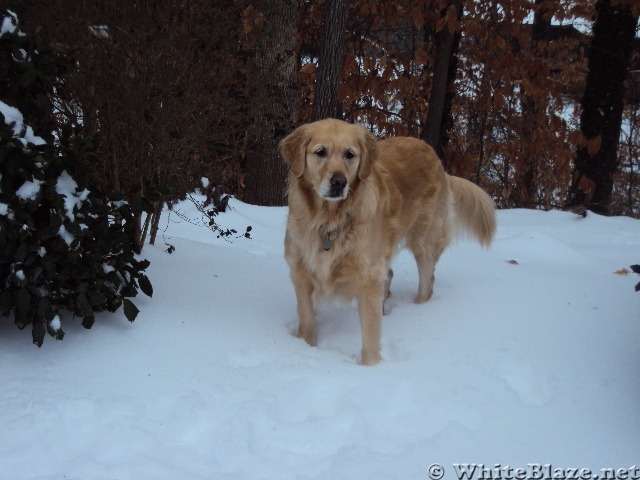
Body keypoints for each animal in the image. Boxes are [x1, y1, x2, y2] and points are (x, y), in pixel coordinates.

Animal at [278, 118, 496, 366]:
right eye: (320, 152)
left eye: (349, 154)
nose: (339, 182)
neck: (329, 221)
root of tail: (434, 155)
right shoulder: (301, 273)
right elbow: (306, 320)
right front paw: (306, 347)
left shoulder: (368, 276)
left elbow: (370, 332)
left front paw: (371, 367)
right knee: (390, 274)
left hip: (423, 240)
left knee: (427, 280)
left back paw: (421, 309)